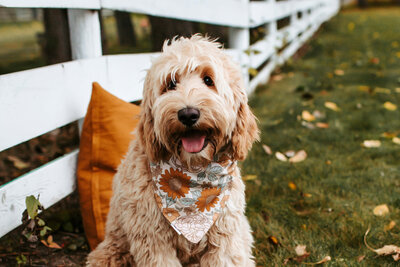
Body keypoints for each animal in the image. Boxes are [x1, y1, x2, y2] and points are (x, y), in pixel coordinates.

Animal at [87, 35, 260, 266]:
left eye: (208, 80)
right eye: (170, 84)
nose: (188, 114)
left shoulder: (225, 237)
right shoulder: (152, 239)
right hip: (109, 251)